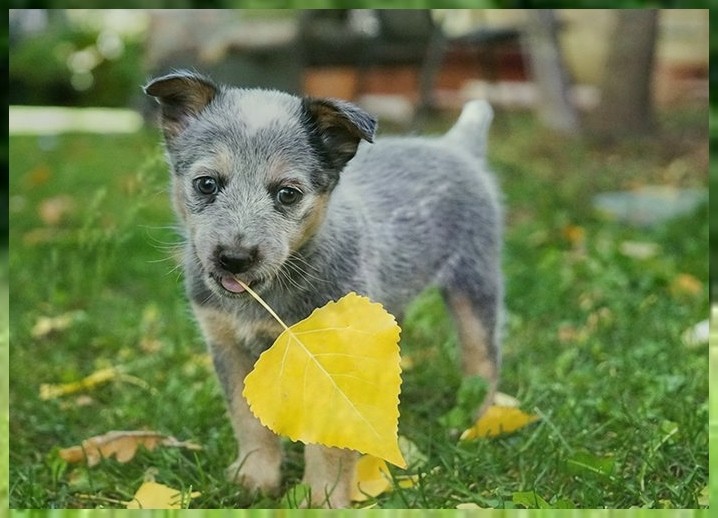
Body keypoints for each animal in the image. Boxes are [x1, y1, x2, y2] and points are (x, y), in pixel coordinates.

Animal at [145, 71, 506, 510]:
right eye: (207, 184)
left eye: (288, 193)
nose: (234, 258)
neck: (273, 296)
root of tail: (455, 145)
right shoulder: (227, 345)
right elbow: (247, 421)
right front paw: (255, 477)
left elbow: (332, 445)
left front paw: (324, 500)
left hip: (474, 282)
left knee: (483, 358)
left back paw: (476, 423)